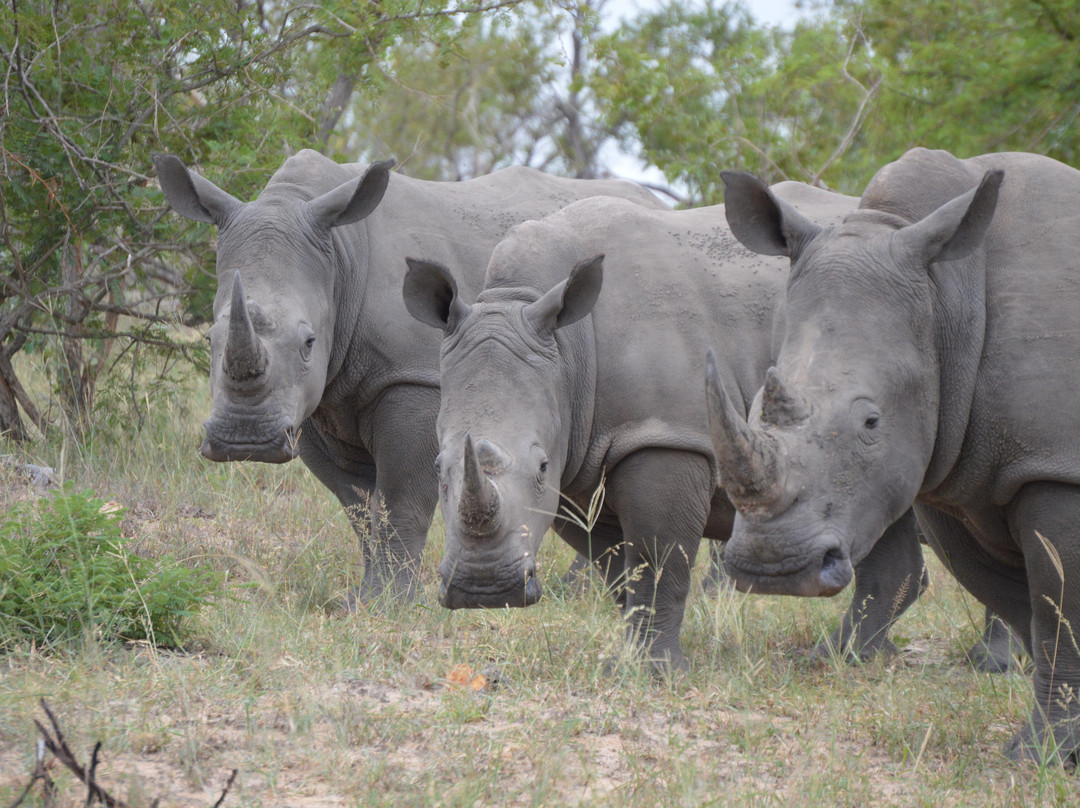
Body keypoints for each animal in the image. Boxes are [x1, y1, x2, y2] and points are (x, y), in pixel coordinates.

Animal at [154, 147, 665, 604]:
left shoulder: (414, 378)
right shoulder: (317, 402)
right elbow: (359, 507)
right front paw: (361, 601)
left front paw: (390, 605)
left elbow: (401, 501)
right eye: (208, 339)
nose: (245, 440)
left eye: (309, 342)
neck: (341, 257)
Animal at [401, 185, 933, 665]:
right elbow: (620, 570)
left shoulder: (666, 436)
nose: (483, 589)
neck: (566, 348)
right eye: (438, 467)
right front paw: (632, 657)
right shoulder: (579, 462)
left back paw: (841, 659)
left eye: (541, 466)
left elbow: (659, 562)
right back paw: (858, 657)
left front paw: (657, 669)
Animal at [717, 146, 1080, 764]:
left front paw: (1037, 758)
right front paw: (1054, 750)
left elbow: (1059, 613)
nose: (773, 568)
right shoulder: (956, 473)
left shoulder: (1056, 467)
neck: (948, 296)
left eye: (871, 422)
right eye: (757, 406)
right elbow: (1025, 606)